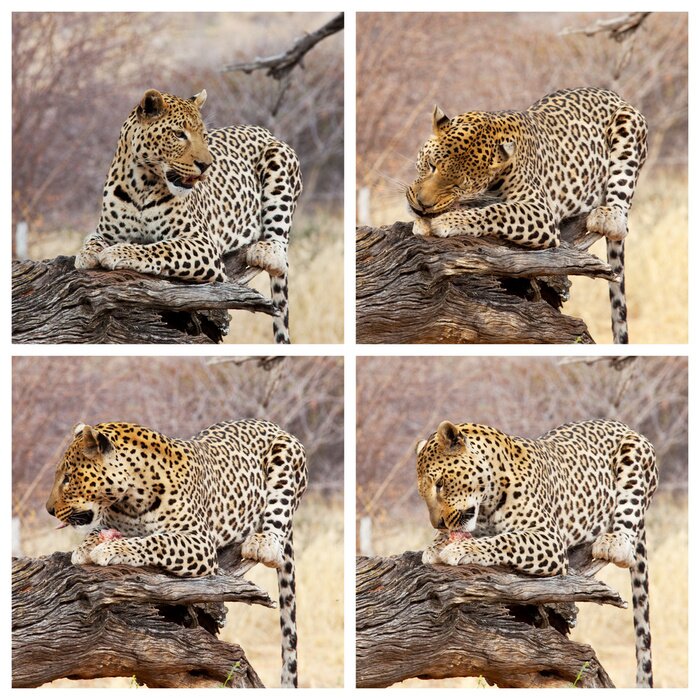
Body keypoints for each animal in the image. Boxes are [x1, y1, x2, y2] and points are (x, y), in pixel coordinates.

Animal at [46, 419, 308, 687]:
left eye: (68, 478)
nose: (49, 510)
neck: (130, 499)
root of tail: (269, 424)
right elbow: (95, 532)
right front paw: (84, 548)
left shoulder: (199, 542)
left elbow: (157, 540)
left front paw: (112, 549)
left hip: (288, 455)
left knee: (277, 522)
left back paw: (262, 542)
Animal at [75, 88, 302, 344]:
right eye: (179, 134)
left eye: (203, 135)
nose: (206, 165)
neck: (141, 183)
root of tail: (265, 131)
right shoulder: (106, 230)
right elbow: (93, 240)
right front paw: (86, 255)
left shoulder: (202, 243)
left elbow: (162, 247)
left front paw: (118, 252)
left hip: (280, 159)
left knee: (280, 249)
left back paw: (265, 251)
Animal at [406, 88, 648, 344]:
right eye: (431, 165)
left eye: (458, 185)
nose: (422, 204)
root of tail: (613, 95)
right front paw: (424, 219)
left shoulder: (540, 211)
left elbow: (496, 210)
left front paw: (447, 221)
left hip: (629, 126)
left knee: (621, 217)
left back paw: (607, 216)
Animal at [415, 418, 658, 687]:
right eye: (423, 492)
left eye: (440, 484)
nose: (438, 524)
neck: (487, 501)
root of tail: (620, 424)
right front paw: (436, 545)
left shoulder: (548, 538)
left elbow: (506, 540)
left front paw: (461, 548)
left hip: (636, 454)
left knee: (627, 526)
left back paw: (614, 542)